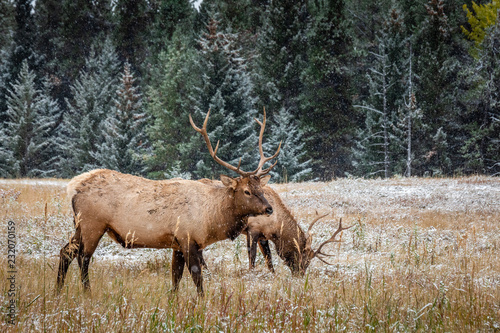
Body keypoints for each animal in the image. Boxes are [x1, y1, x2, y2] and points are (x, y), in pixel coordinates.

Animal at [57, 107, 282, 294]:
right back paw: (87, 292)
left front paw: (173, 302)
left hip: (80, 225)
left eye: (260, 188)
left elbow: (176, 278)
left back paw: (57, 291)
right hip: (93, 224)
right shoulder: (187, 237)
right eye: (246, 191)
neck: (211, 219)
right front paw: (201, 302)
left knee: (66, 251)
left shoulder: (177, 244)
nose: (269, 209)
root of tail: (72, 187)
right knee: (83, 257)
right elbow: (196, 276)